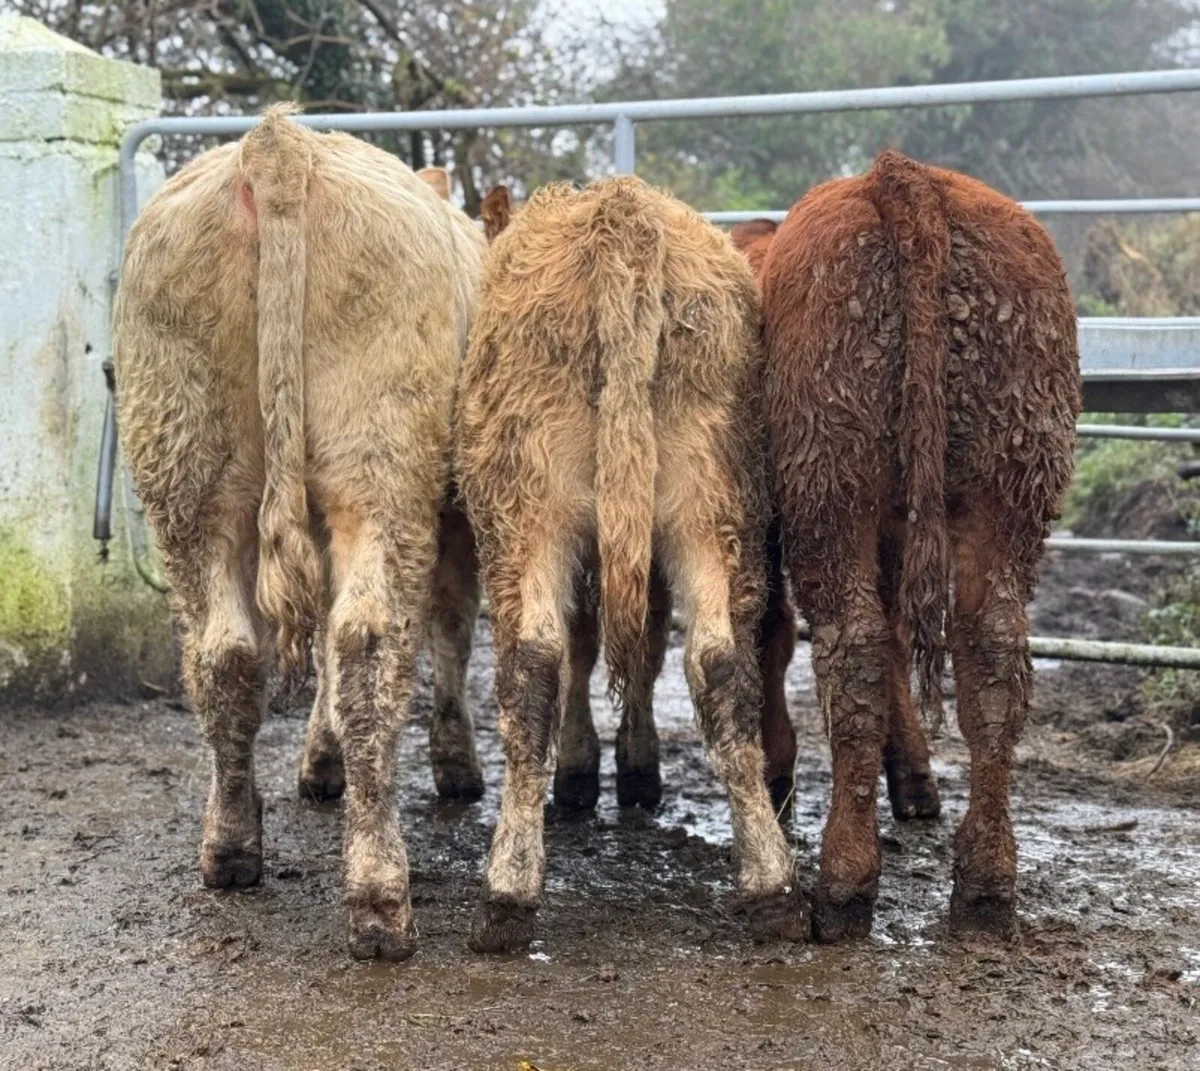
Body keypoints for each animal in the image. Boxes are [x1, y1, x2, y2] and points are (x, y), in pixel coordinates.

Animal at [113, 105, 486, 961]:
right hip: (384, 465)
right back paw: (380, 895)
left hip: (190, 465)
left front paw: (320, 762)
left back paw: (231, 846)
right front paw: (452, 763)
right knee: (369, 643)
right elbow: (448, 629)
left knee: (225, 653)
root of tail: (280, 145)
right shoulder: (455, 521)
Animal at [457, 177, 809, 954]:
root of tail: (621, 213)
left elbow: (592, 647)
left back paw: (507, 889)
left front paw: (594, 768)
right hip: (712, 502)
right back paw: (771, 882)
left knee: (534, 663)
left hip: (527, 509)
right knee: (718, 661)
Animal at [739, 149, 1080, 942]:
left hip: (830, 487)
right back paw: (985, 887)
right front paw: (915, 777)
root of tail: (901, 178)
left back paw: (843, 884)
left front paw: (780, 770)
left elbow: (775, 629)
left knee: (854, 647)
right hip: (1006, 485)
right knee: (989, 651)